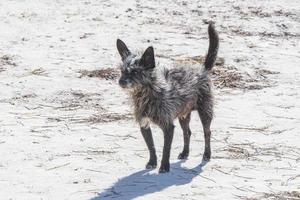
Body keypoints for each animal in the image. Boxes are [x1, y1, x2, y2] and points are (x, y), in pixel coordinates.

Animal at [116, 23, 218, 173]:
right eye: (122, 71)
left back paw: (207, 154)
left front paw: (164, 166)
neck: (146, 94)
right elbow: (151, 146)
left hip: (205, 112)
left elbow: (166, 148)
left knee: (207, 132)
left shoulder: (168, 127)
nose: (121, 82)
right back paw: (185, 152)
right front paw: (152, 162)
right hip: (183, 115)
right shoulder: (144, 125)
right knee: (187, 132)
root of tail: (202, 68)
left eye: (135, 72)